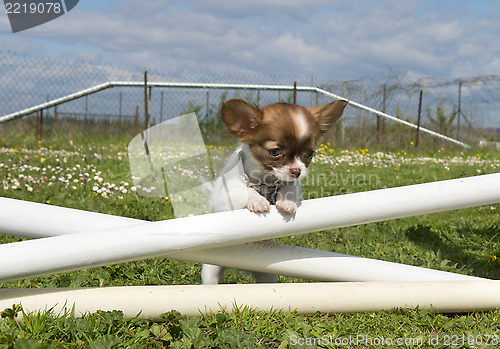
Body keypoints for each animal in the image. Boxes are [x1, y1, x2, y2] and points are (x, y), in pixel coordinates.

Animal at [201, 97, 350, 282]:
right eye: (275, 151)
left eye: (310, 154)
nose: (296, 171)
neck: (265, 179)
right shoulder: (227, 194)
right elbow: (246, 190)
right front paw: (258, 200)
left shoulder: (291, 184)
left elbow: (288, 187)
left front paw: (286, 202)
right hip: (211, 268)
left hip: (266, 271)